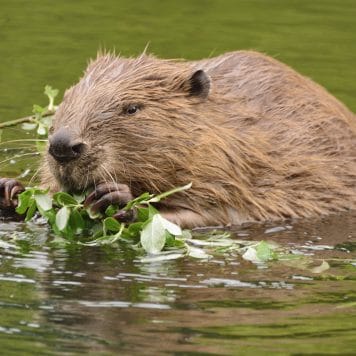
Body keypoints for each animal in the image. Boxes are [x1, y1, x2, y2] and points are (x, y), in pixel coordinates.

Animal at [0, 50, 356, 228]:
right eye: (68, 96)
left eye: (132, 108)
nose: (62, 146)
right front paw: (11, 190)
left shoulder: (236, 175)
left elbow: (214, 214)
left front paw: (117, 197)